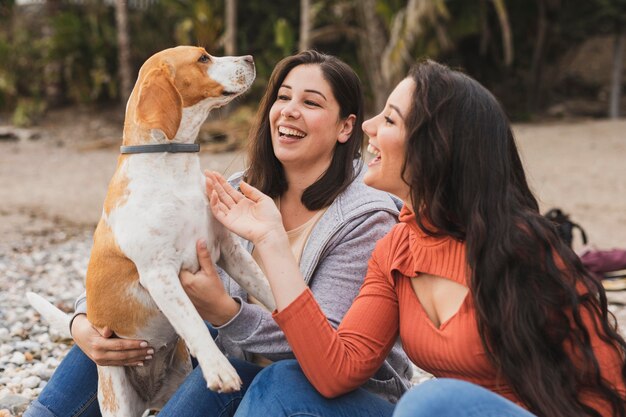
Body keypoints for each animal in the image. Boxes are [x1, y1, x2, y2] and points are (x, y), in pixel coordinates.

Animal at [26, 46, 274, 416]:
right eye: (203, 58)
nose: (250, 59)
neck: (172, 164)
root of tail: (149, 395)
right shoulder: (160, 273)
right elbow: (193, 322)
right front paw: (219, 369)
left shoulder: (229, 251)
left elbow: (270, 290)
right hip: (117, 400)